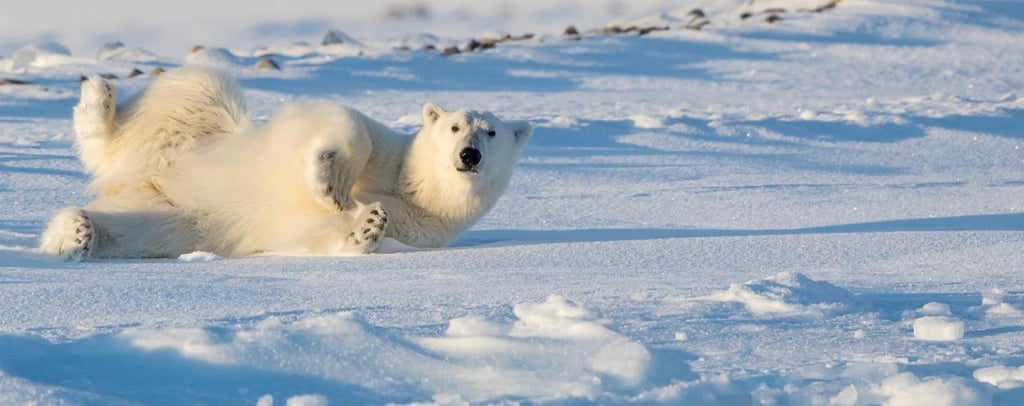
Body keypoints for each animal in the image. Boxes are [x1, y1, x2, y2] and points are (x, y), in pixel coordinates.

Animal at [37, 66, 536, 260]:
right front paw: (329, 181)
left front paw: (367, 224)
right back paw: (98, 97)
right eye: (454, 126)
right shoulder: (391, 152)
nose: (469, 155)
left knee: (136, 229)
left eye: (491, 131)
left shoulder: (422, 227)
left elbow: (305, 234)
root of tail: (130, 181)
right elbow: (352, 128)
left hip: (174, 217)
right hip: (191, 137)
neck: (417, 190)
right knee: (195, 87)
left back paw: (77, 235)